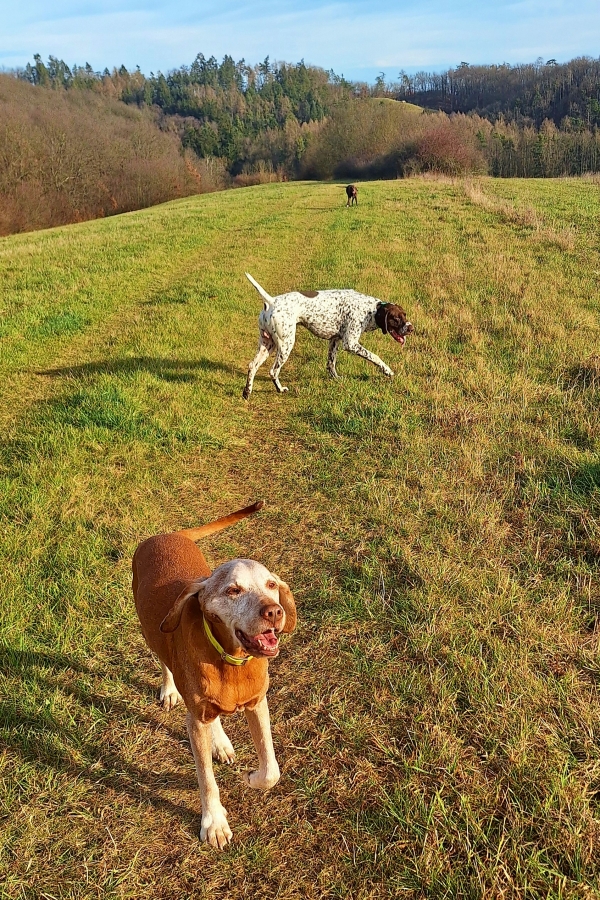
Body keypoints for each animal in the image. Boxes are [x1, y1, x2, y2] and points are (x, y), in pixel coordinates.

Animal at [132, 500, 296, 849]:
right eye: (233, 590)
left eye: (271, 585)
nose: (274, 612)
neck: (231, 661)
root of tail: (169, 534)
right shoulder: (194, 721)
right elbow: (206, 779)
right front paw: (214, 822)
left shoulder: (257, 704)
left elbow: (271, 769)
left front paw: (251, 777)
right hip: (151, 632)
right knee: (165, 663)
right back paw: (170, 691)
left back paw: (220, 742)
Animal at [242, 273, 413, 398]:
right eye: (396, 319)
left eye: (405, 315)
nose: (411, 328)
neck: (371, 309)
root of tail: (271, 301)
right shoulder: (350, 343)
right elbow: (375, 357)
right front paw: (387, 371)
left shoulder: (334, 340)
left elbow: (331, 364)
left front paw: (336, 379)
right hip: (285, 345)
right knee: (273, 371)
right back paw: (280, 389)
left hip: (267, 344)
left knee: (252, 366)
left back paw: (247, 393)